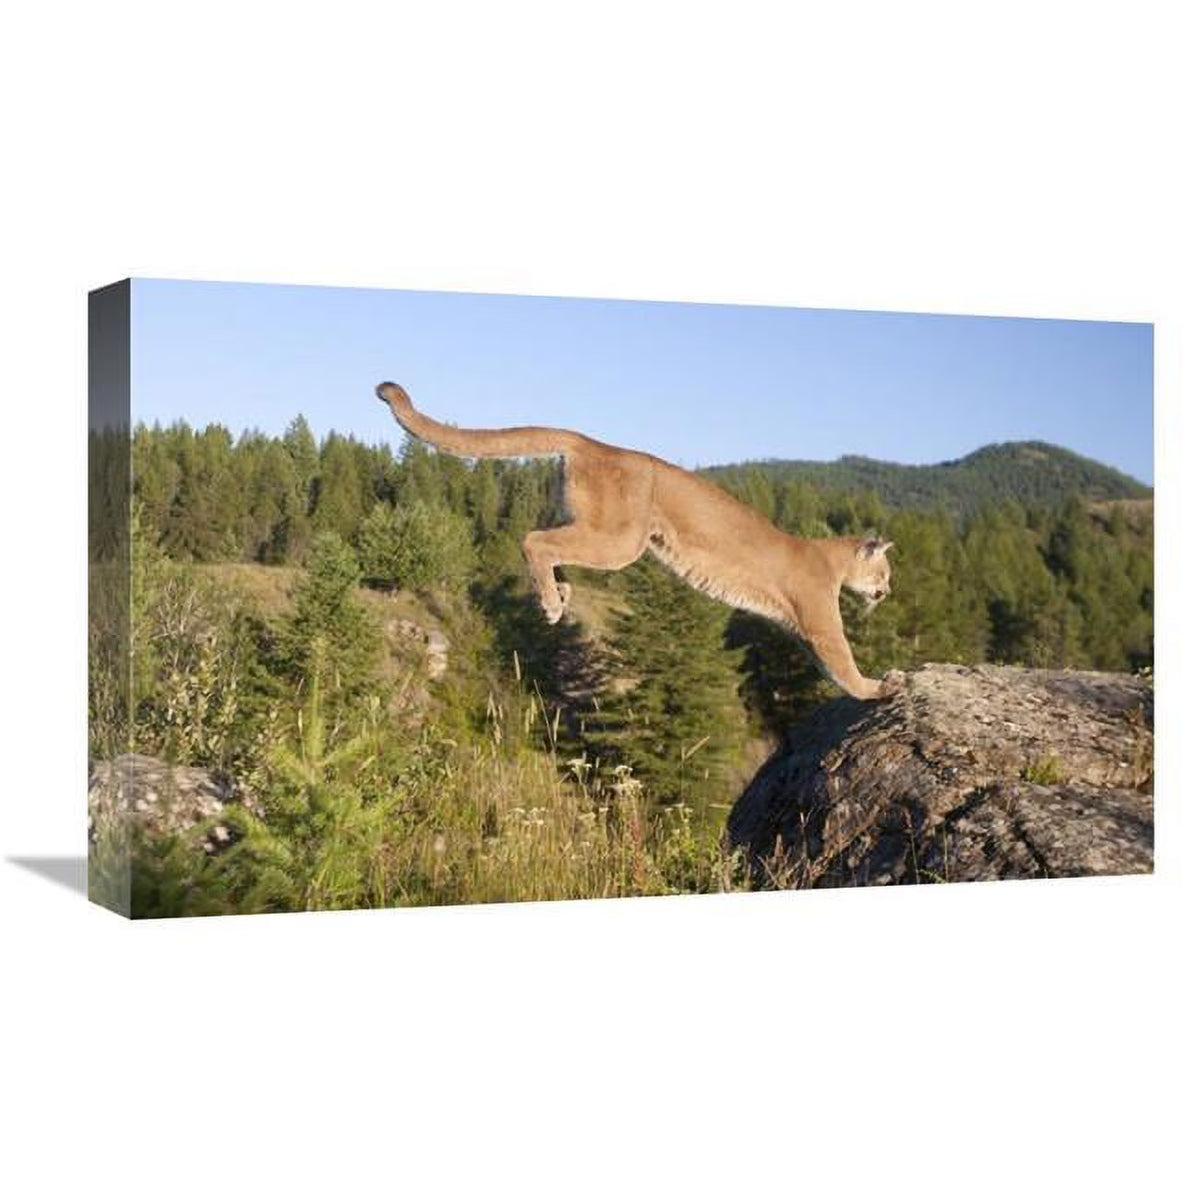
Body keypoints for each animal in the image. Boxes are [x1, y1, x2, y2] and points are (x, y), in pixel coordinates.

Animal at [377, 382, 901, 700]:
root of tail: (594, 443)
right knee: (534, 539)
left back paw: (558, 592)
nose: (887, 591)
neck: (833, 560)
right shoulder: (819, 622)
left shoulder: (800, 629)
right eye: (884, 571)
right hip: (620, 540)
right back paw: (551, 602)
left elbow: (827, 669)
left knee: (547, 538)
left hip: (591, 522)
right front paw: (878, 688)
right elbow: (843, 660)